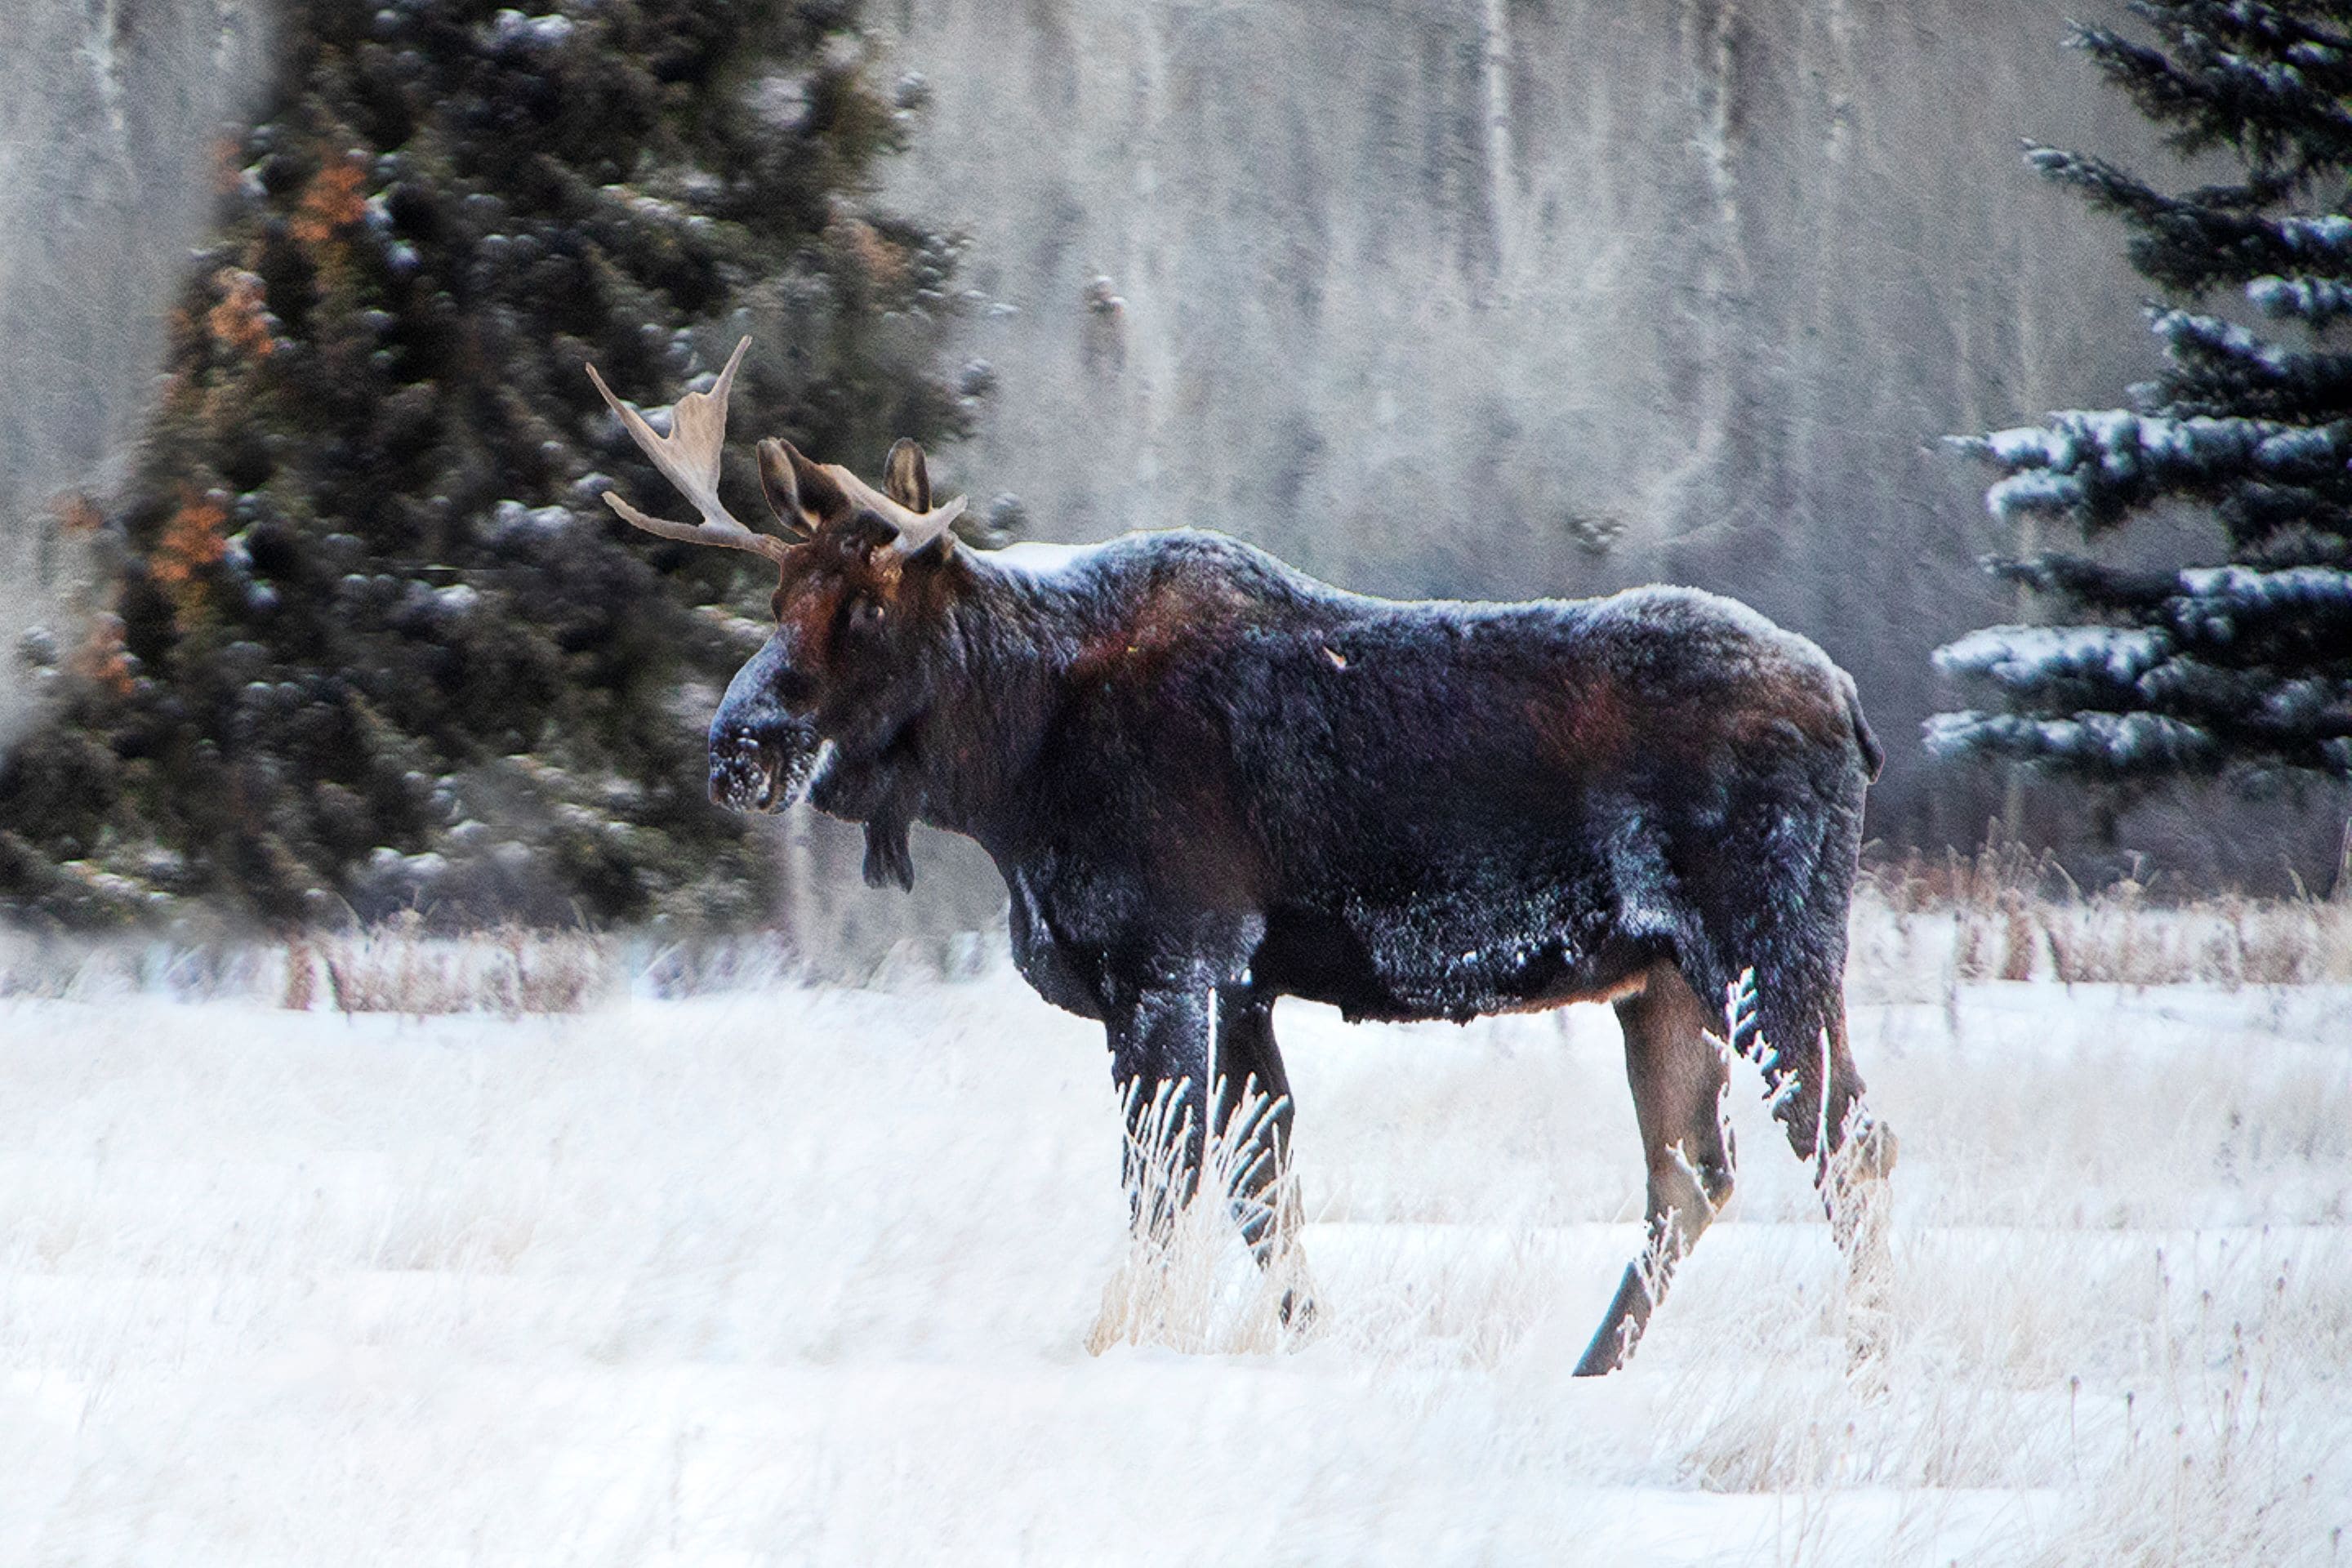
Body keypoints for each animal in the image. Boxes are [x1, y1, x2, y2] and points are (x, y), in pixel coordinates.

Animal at [586, 338, 1897, 1373]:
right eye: (776, 604)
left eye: (864, 606)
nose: (736, 746)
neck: (1012, 776)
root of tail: (1850, 704)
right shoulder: (1249, 982)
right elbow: (1265, 1192)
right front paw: (1308, 1344)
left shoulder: (1168, 961)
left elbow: (1161, 1197)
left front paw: (1125, 1344)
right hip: (1659, 982)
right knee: (1693, 1174)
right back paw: (1593, 1372)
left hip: (1766, 944)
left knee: (1848, 1146)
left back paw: (1871, 1365)